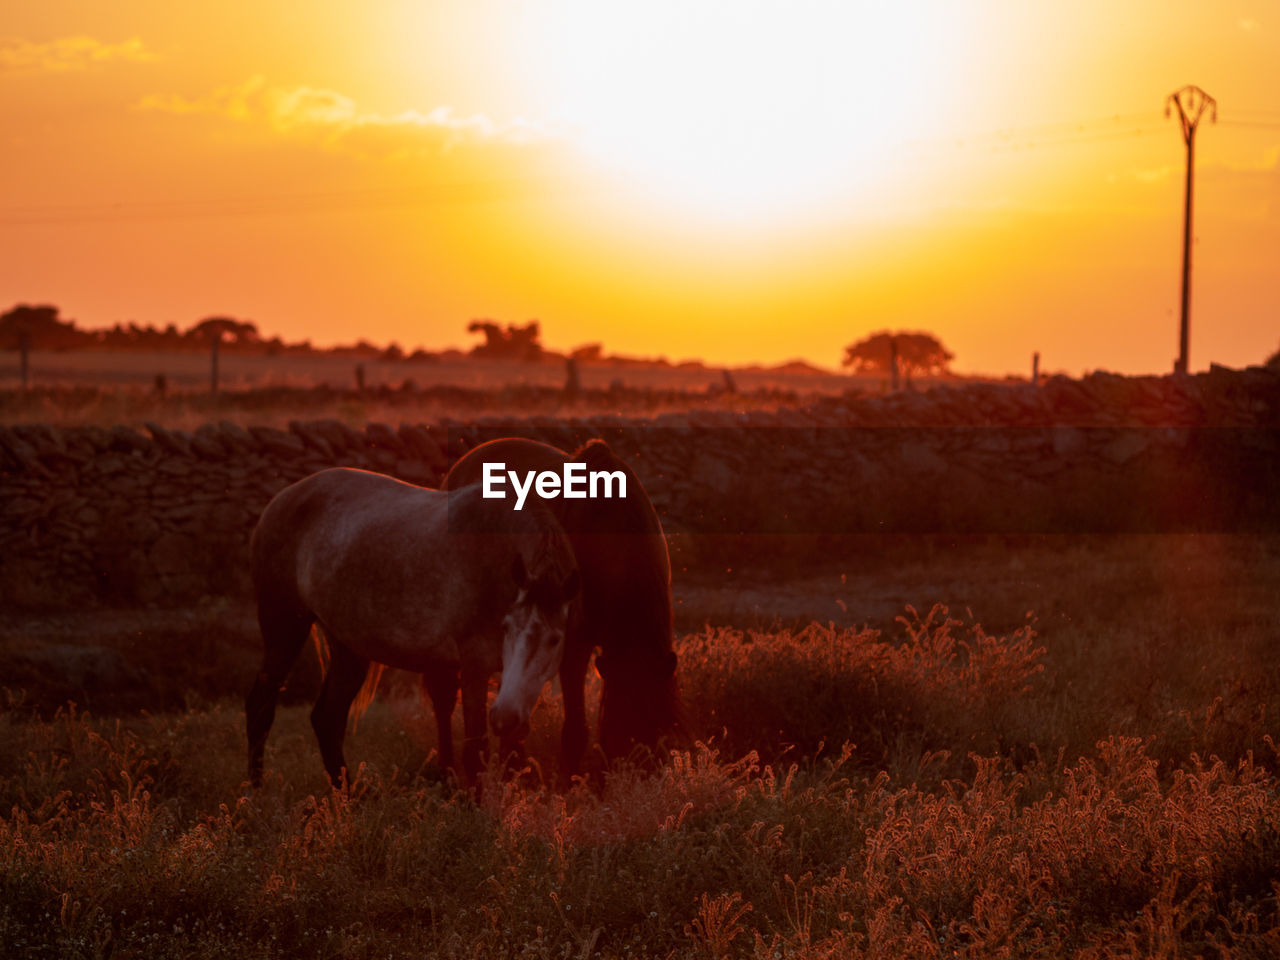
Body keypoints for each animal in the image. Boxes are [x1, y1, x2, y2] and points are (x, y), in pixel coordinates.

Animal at [243, 468, 581, 788]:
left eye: (554, 640)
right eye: (506, 627)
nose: (504, 718)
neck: (495, 555)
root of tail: (279, 500)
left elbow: (511, 753)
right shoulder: (474, 666)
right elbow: (475, 751)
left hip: (348, 648)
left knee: (327, 718)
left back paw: (348, 795)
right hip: (284, 626)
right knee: (261, 704)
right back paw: (258, 789)